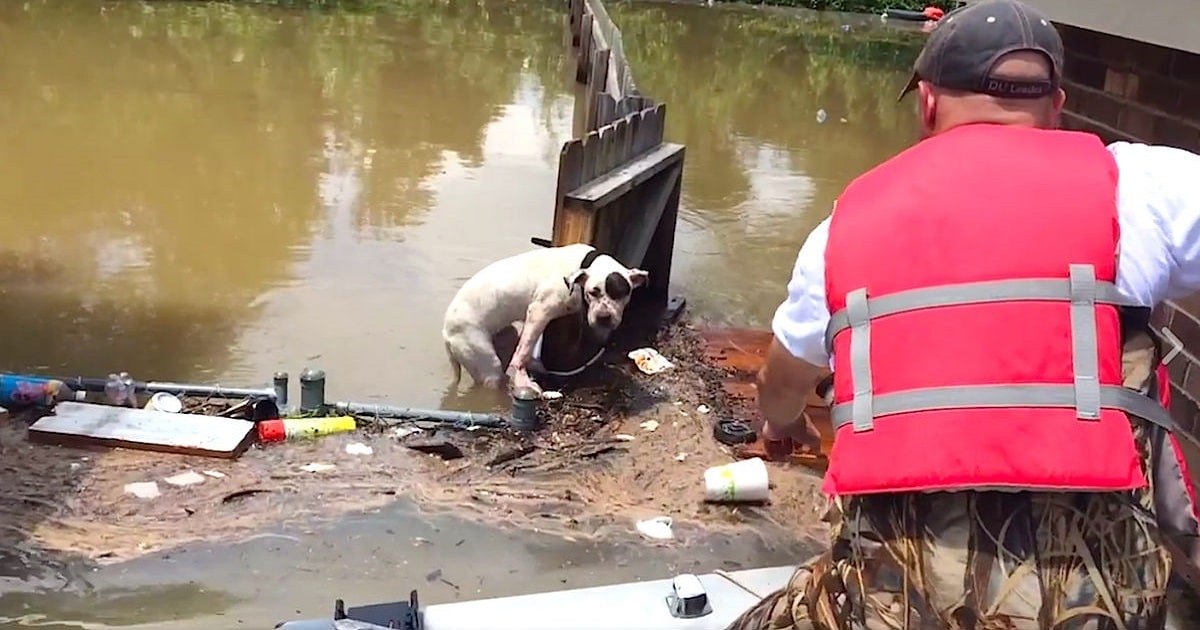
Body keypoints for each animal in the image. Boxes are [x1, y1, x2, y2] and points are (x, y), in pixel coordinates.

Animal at [441, 242, 648, 393]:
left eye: (621, 293)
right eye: (593, 292)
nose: (603, 317)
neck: (584, 265)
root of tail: (446, 332)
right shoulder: (539, 311)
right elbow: (523, 352)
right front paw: (524, 381)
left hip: (506, 337)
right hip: (485, 363)